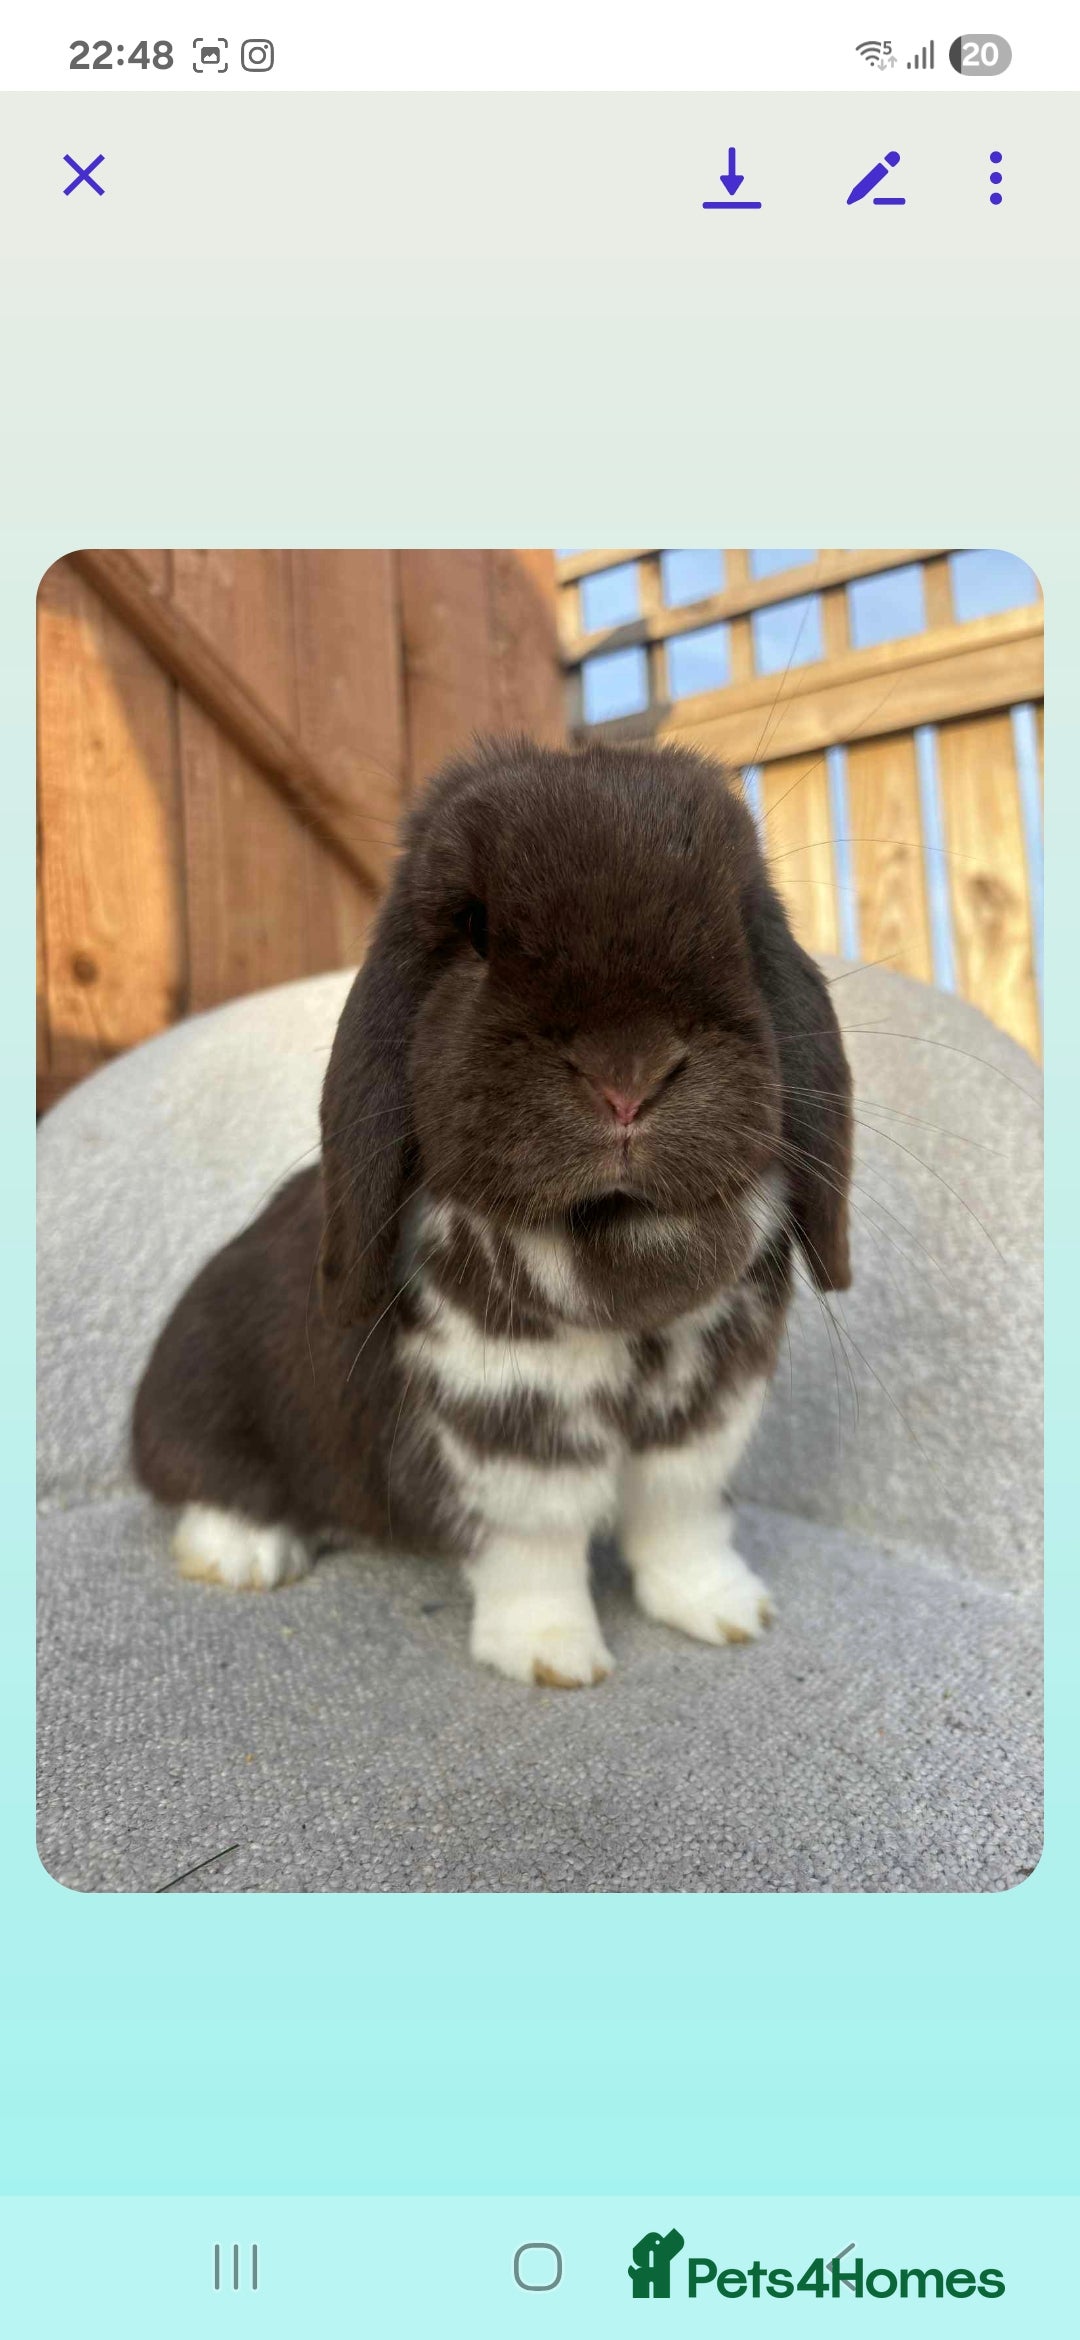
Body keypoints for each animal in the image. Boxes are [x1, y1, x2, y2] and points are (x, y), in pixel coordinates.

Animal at [132, 736, 852, 1687]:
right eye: (474, 930)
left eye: (740, 923)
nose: (629, 1077)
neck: (615, 1239)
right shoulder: (507, 1432)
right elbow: (536, 1550)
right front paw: (554, 1659)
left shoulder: (702, 1427)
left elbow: (682, 1521)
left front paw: (728, 1612)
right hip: (205, 1395)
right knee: (203, 1484)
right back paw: (244, 1553)